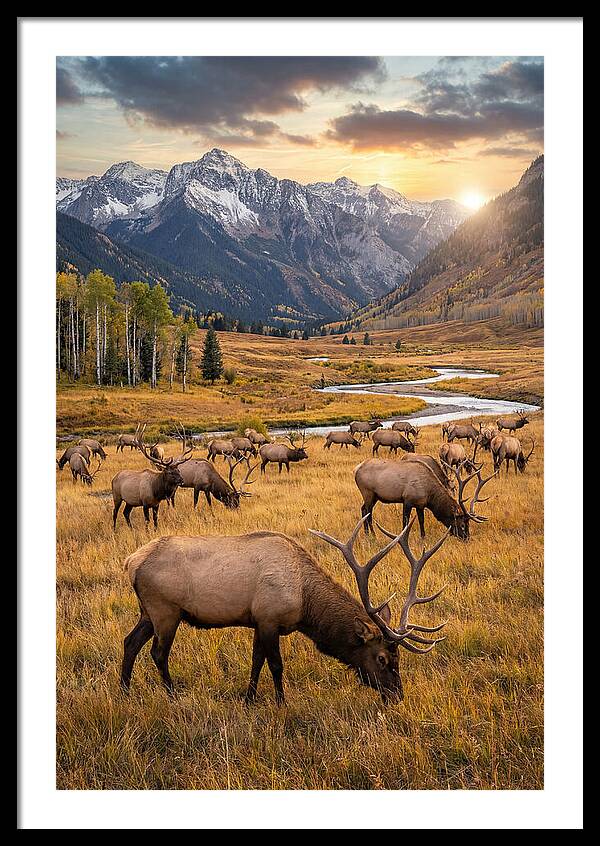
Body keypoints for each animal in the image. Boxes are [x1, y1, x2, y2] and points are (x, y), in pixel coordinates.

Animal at [120, 515, 450, 705]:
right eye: (381, 658)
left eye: (398, 659)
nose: (397, 695)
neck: (305, 603)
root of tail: (131, 562)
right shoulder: (269, 618)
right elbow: (276, 665)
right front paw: (281, 702)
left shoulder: (257, 620)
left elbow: (256, 662)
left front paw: (249, 699)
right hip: (166, 611)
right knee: (158, 653)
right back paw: (171, 694)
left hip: (147, 612)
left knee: (130, 642)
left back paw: (124, 691)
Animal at [355, 457, 495, 540]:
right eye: (461, 524)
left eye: (468, 523)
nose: (467, 538)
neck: (429, 494)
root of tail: (356, 469)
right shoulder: (407, 500)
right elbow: (405, 521)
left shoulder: (420, 504)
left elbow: (421, 521)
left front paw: (423, 537)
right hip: (368, 493)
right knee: (367, 512)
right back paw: (371, 535)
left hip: (374, 497)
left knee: (363, 510)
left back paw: (368, 534)